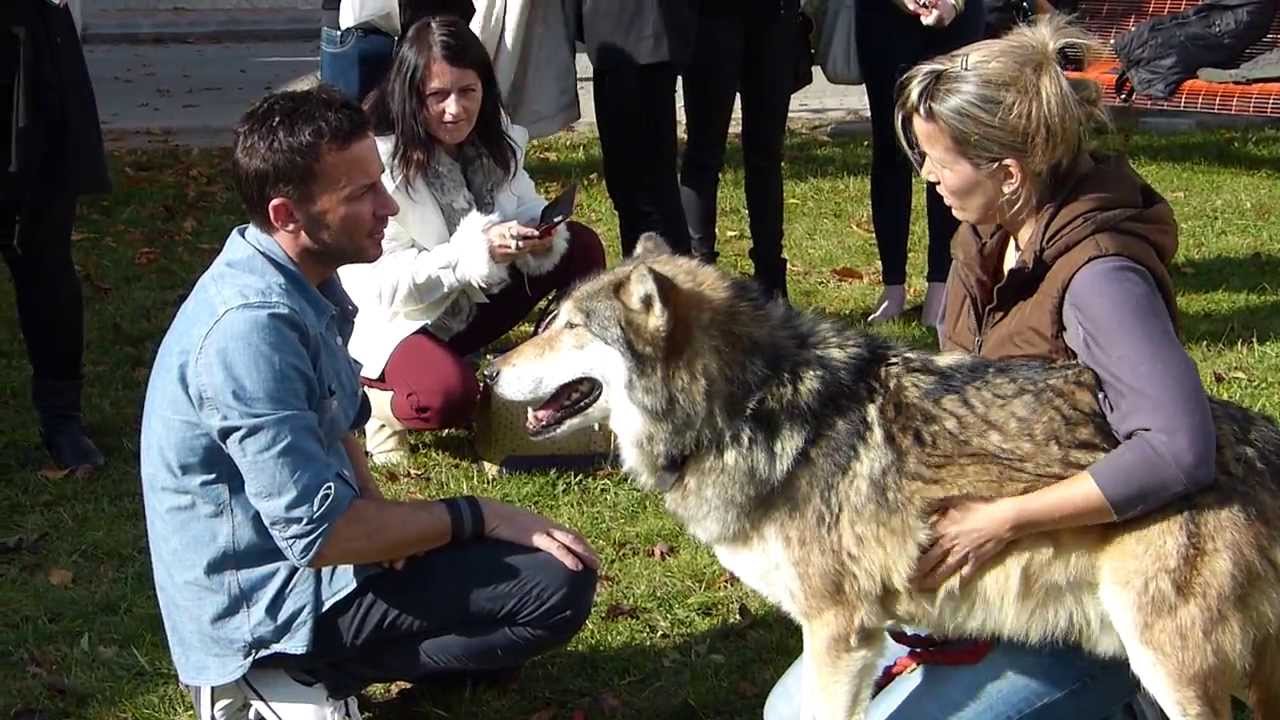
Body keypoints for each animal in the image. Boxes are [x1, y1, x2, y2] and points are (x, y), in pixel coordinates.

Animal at [487, 236, 1280, 720]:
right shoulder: (858, 638)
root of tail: (1254, 436)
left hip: (1171, 666)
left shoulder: (838, 634)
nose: (489, 370)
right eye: (548, 318)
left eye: (567, 326)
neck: (752, 408)